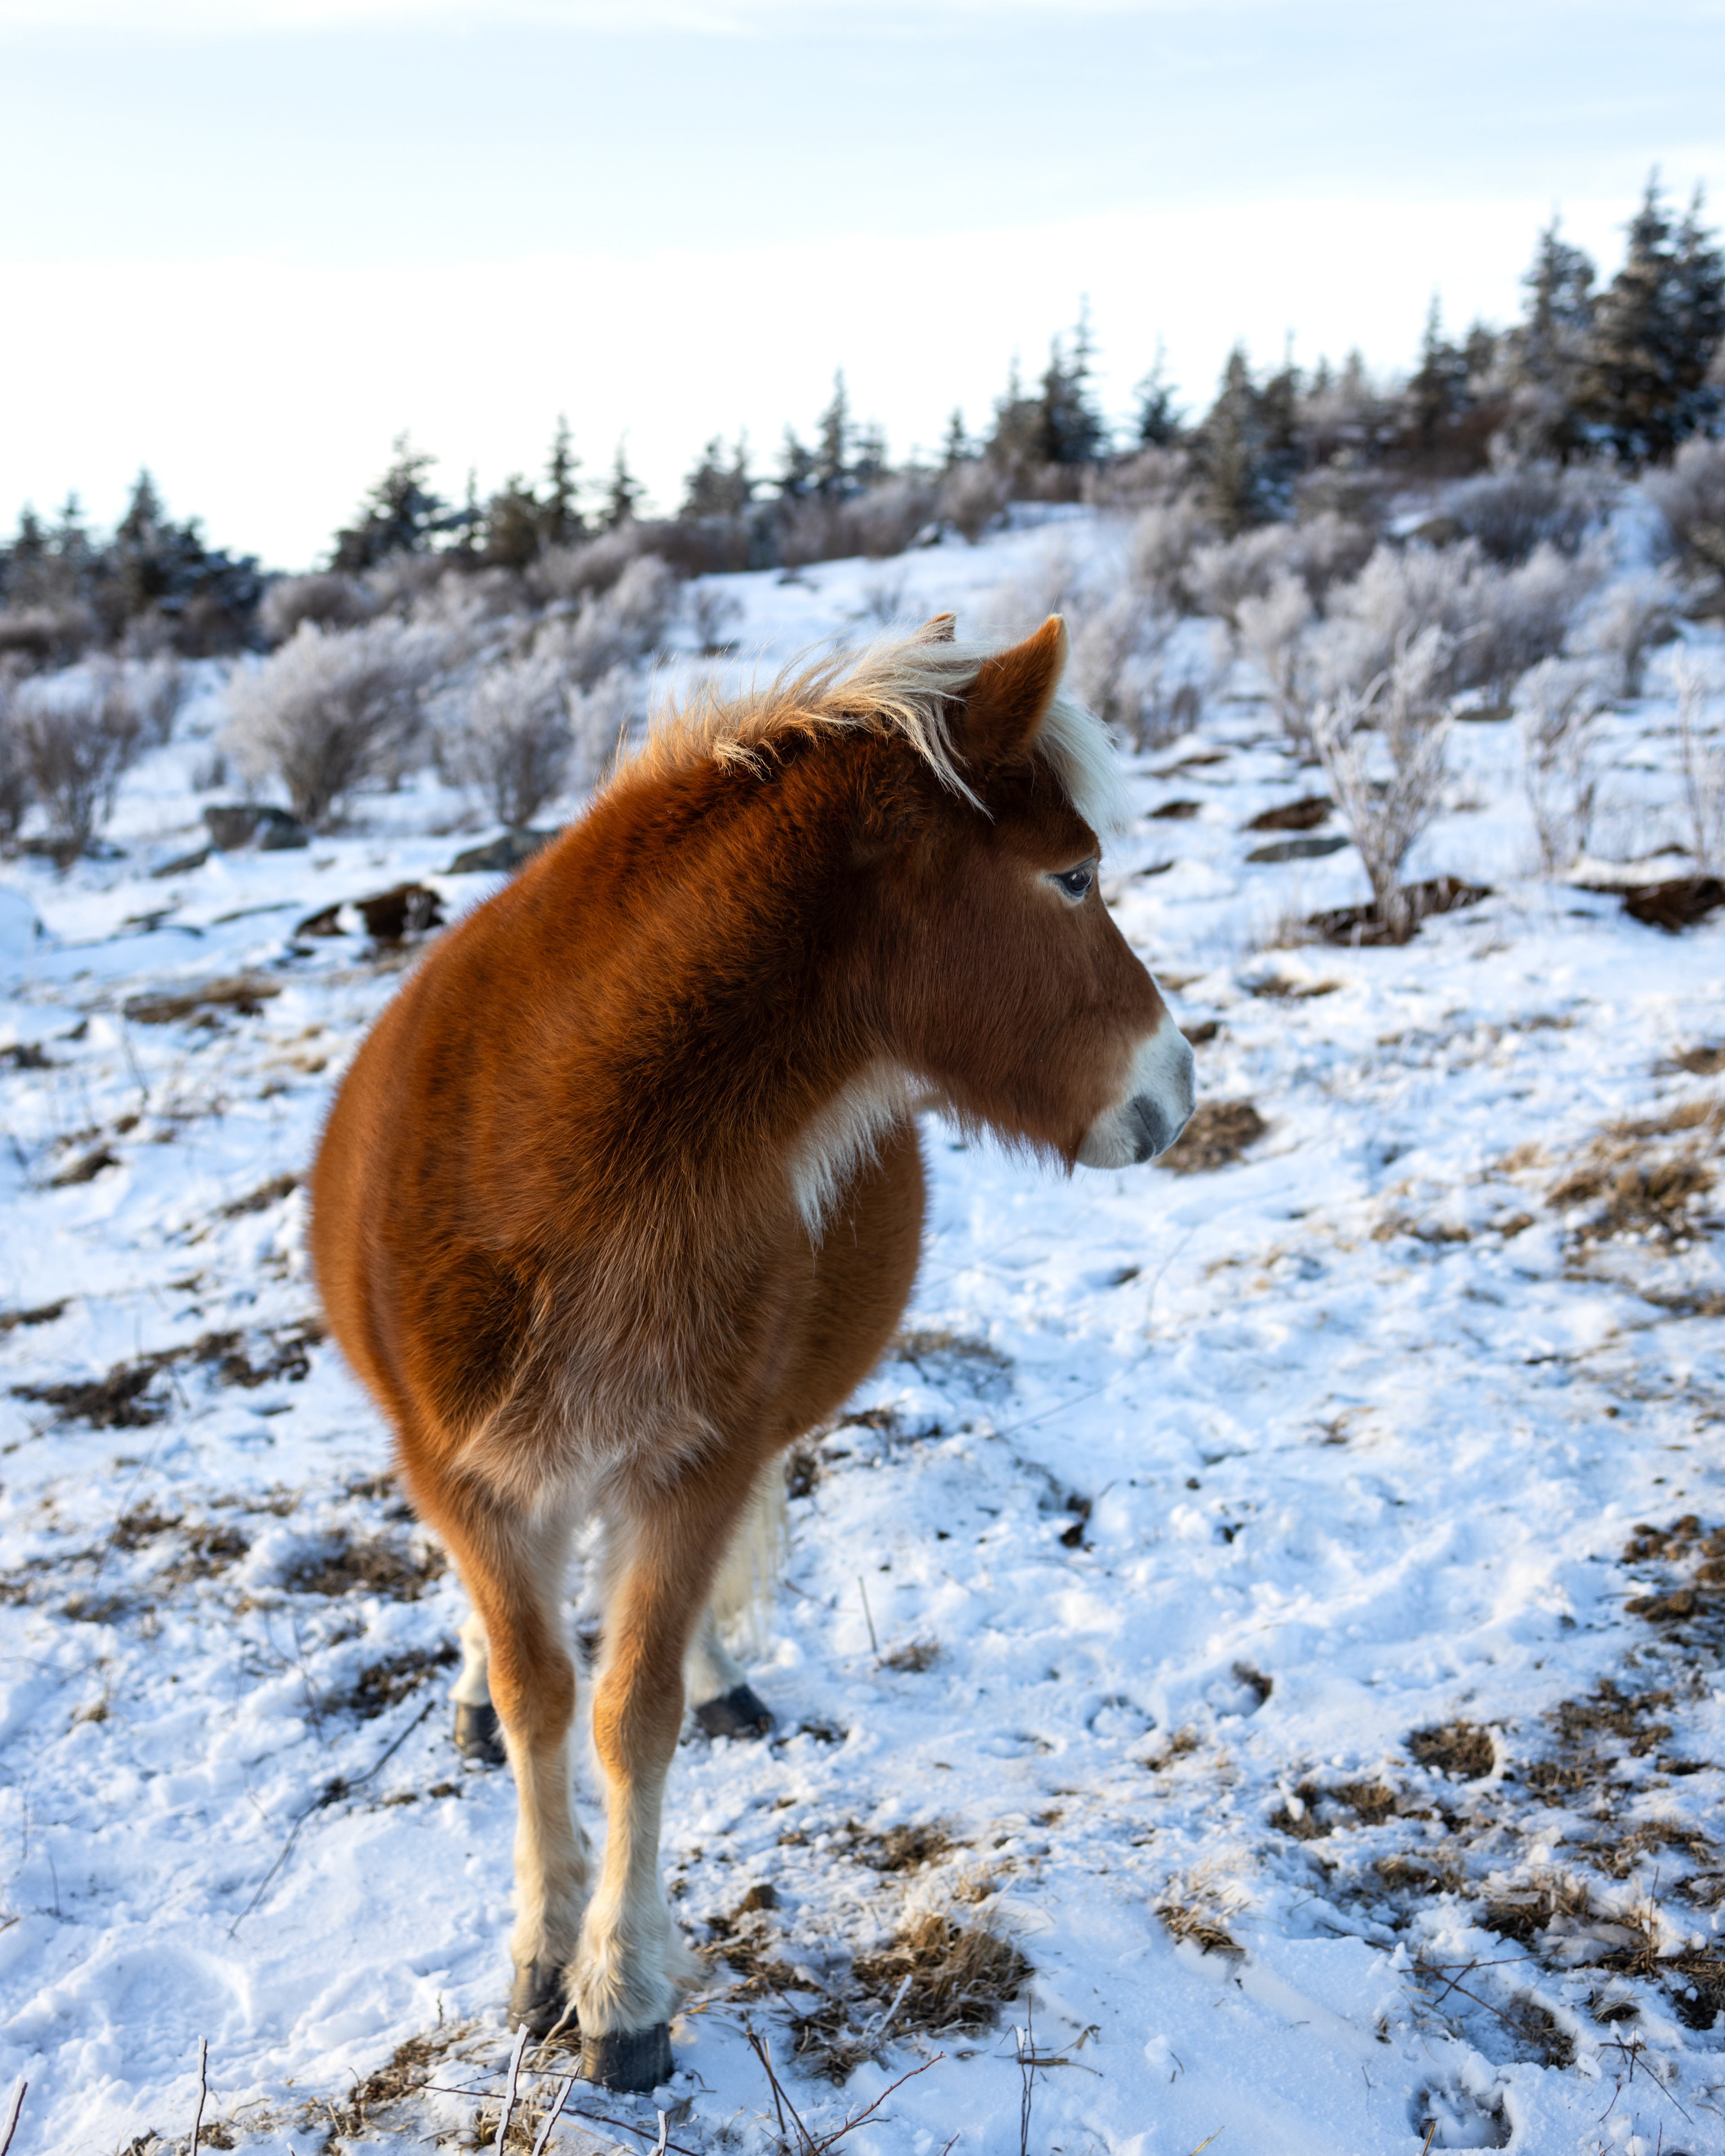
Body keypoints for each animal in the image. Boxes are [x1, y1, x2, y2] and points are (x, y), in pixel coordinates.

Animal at [308, 612, 1194, 2092]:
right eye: (1071, 874)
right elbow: (540, 1693)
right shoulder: (467, 1479)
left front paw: (620, 1990)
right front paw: (539, 1951)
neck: (550, 1160)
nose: (1175, 1092)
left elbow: (631, 1708)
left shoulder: (693, 1463)